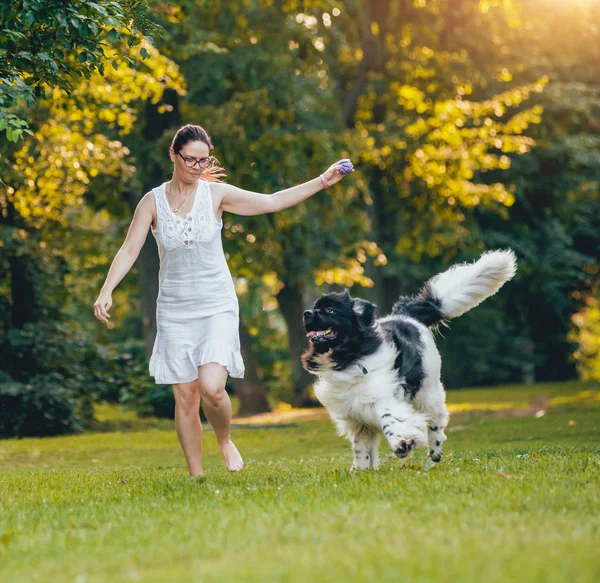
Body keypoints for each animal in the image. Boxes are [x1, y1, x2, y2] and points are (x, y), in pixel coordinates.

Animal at [302, 251, 516, 470]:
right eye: (314, 308)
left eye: (330, 310)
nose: (306, 313)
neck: (349, 354)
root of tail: (407, 315)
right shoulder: (355, 416)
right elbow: (361, 447)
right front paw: (361, 470)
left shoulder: (382, 396)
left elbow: (390, 419)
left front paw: (402, 444)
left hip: (428, 389)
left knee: (436, 419)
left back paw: (435, 451)